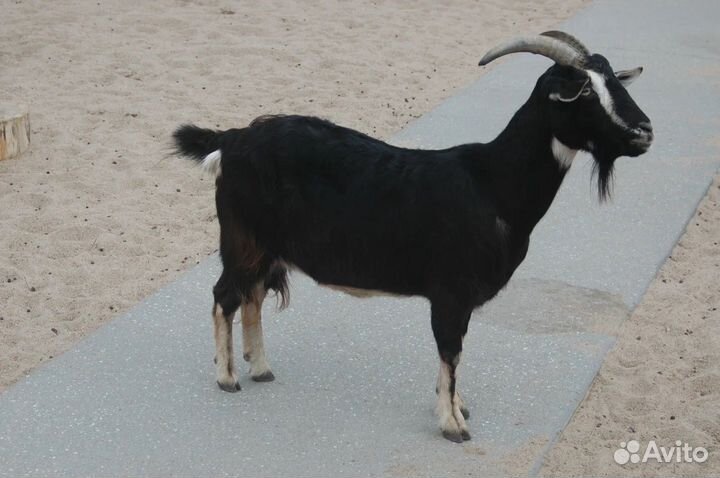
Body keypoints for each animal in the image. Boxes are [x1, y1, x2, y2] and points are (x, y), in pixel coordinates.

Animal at [173, 31, 653, 442]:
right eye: (585, 91)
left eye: (614, 81)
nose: (644, 132)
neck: (493, 184)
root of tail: (231, 140)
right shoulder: (451, 292)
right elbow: (450, 352)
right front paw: (453, 424)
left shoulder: (460, 299)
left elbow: (456, 352)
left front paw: (458, 406)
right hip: (243, 240)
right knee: (225, 296)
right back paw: (228, 377)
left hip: (265, 248)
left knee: (251, 297)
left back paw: (260, 368)